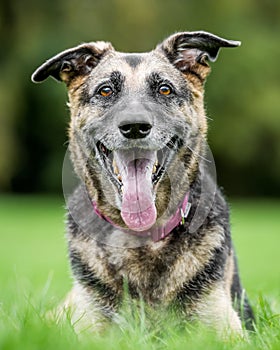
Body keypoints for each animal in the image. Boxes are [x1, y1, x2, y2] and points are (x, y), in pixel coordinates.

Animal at [31, 31, 255, 334]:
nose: (135, 127)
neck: (139, 236)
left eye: (165, 90)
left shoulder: (221, 326)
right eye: (105, 91)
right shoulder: (88, 323)